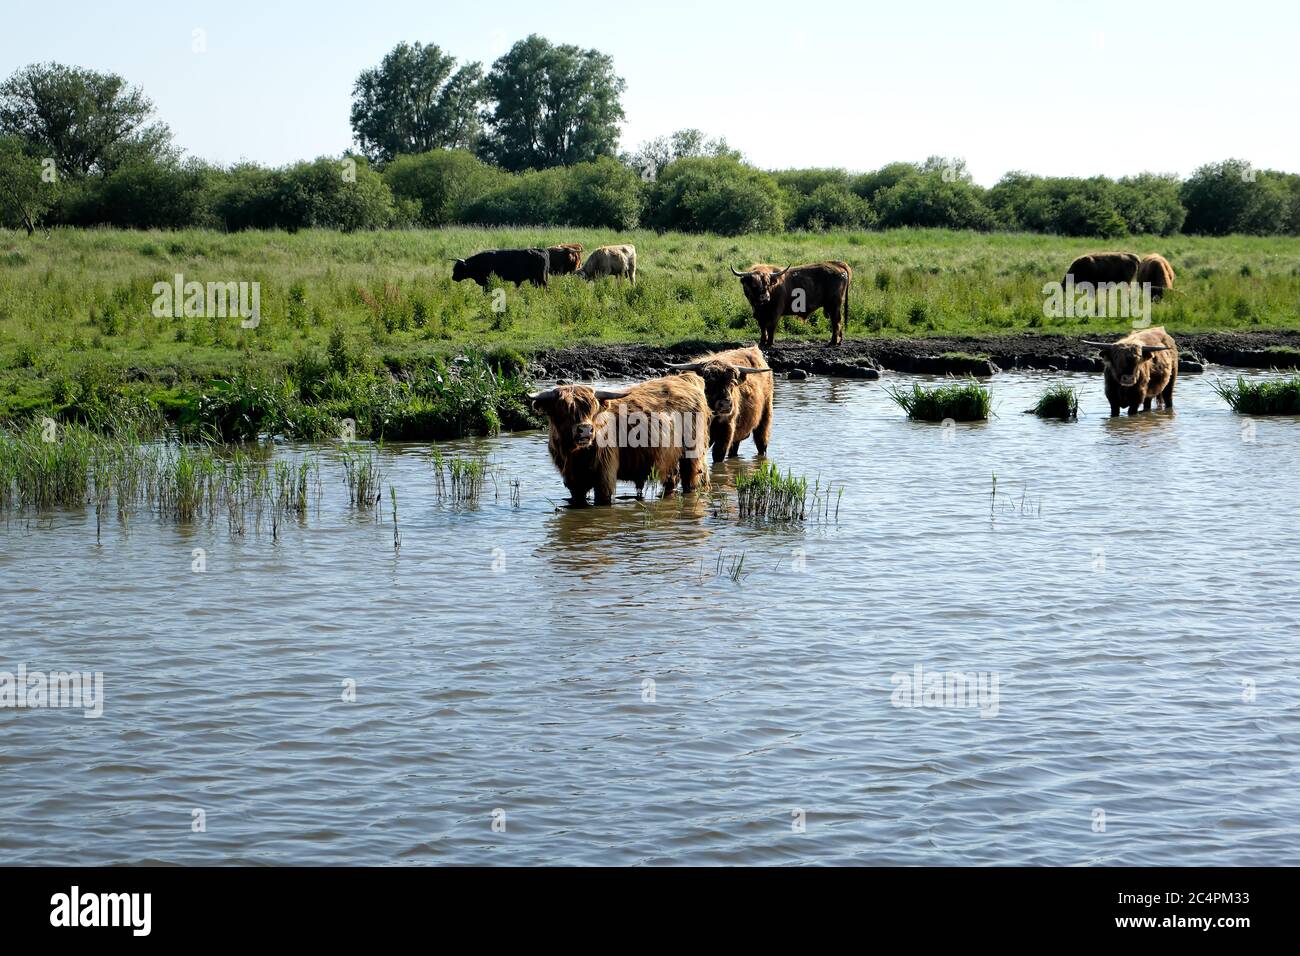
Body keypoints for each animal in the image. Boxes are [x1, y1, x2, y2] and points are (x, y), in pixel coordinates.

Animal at [530, 374, 712, 509]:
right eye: (563, 410)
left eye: (593, 409)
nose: (586, 430)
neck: (576, 454)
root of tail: (685, 379)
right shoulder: (573, 481)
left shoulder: (604, 477)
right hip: (668, 458)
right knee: (672, 479)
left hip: (693, 454)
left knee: (693, 480)